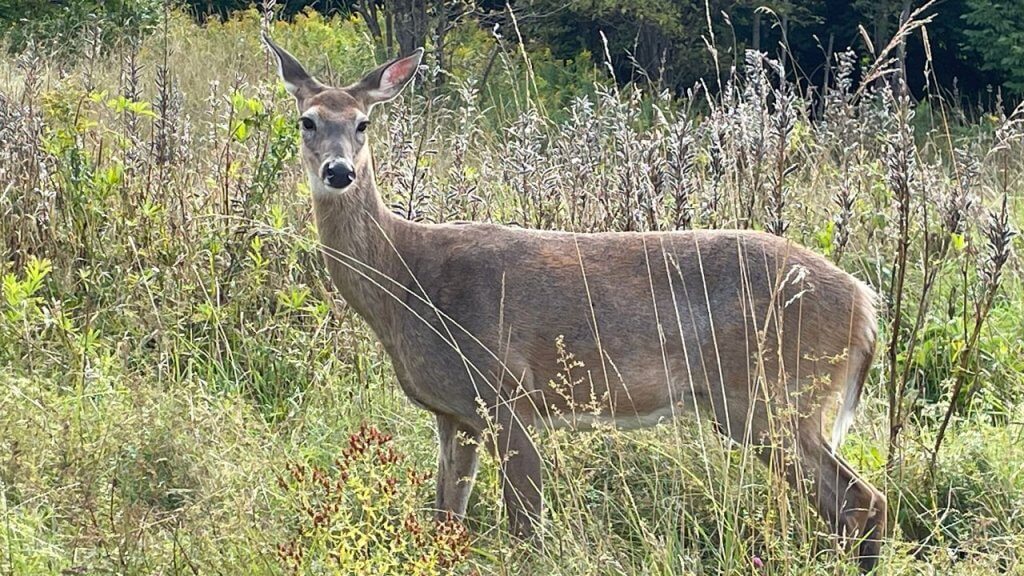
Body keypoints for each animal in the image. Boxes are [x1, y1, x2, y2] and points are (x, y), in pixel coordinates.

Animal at [262, 34, 888, 572]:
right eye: (307, 120)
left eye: (363, 123)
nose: (339, 171)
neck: (410, 278)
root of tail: (866, 304)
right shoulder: (454, 413)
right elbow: (445, 522)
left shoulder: (507, 393)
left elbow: (526, 532)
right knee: (847, 505)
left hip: (775, 393)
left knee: (863, 500)